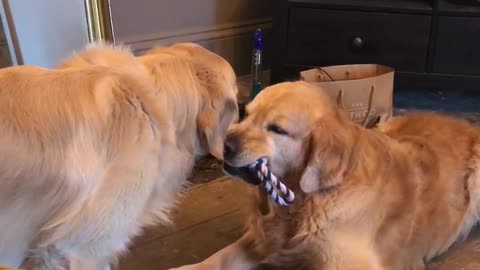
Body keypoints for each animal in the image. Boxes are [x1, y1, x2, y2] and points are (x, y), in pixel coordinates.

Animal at [172, 81, 480, 270]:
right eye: (245, 114)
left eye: (277, 129)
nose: (225, 145)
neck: (308, 201)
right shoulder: (261, 240)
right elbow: (218, 258)